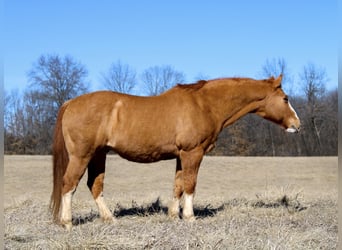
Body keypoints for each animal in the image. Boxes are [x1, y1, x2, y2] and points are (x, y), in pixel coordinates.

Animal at [50, 74, 300, 230]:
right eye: (285, 98)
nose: (297, 125)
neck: (204, 104)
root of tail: (71, 102)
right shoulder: (193, 153)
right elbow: (190, 184)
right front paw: (189, 217)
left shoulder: (181, 155)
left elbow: (178, 185)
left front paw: (173, 215)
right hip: (82, 156)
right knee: (68, 184)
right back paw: (67, 222)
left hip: (98, 155)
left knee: (94, 185)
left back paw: (109, 218)